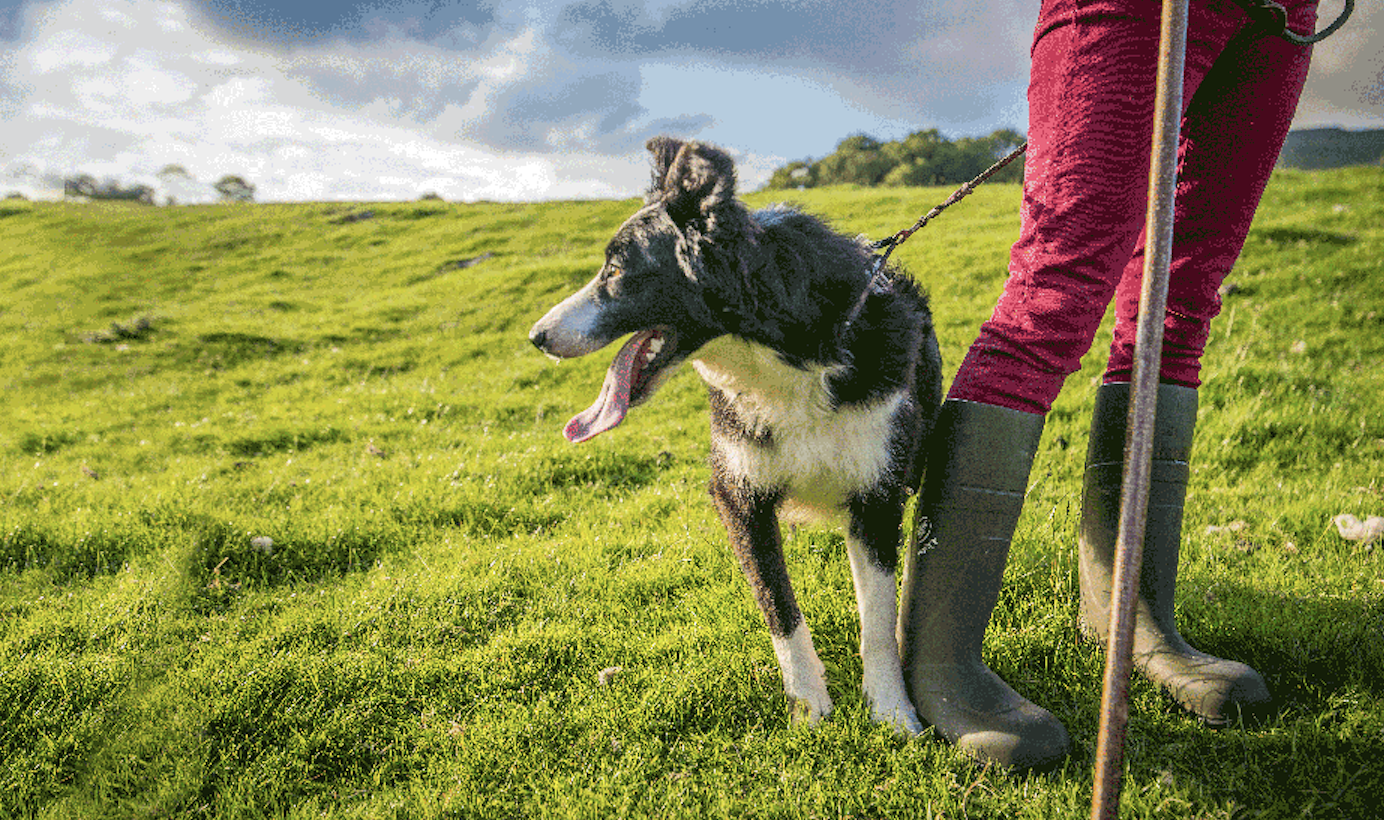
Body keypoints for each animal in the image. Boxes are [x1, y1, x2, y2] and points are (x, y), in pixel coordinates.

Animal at [525, 137, 941, 731]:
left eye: (616, 269)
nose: (536, 336)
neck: (782, 358)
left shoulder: (876, 496)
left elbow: (879, 620)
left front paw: (891, 713)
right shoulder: (738, 494)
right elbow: (779, 606)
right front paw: (809, 712)